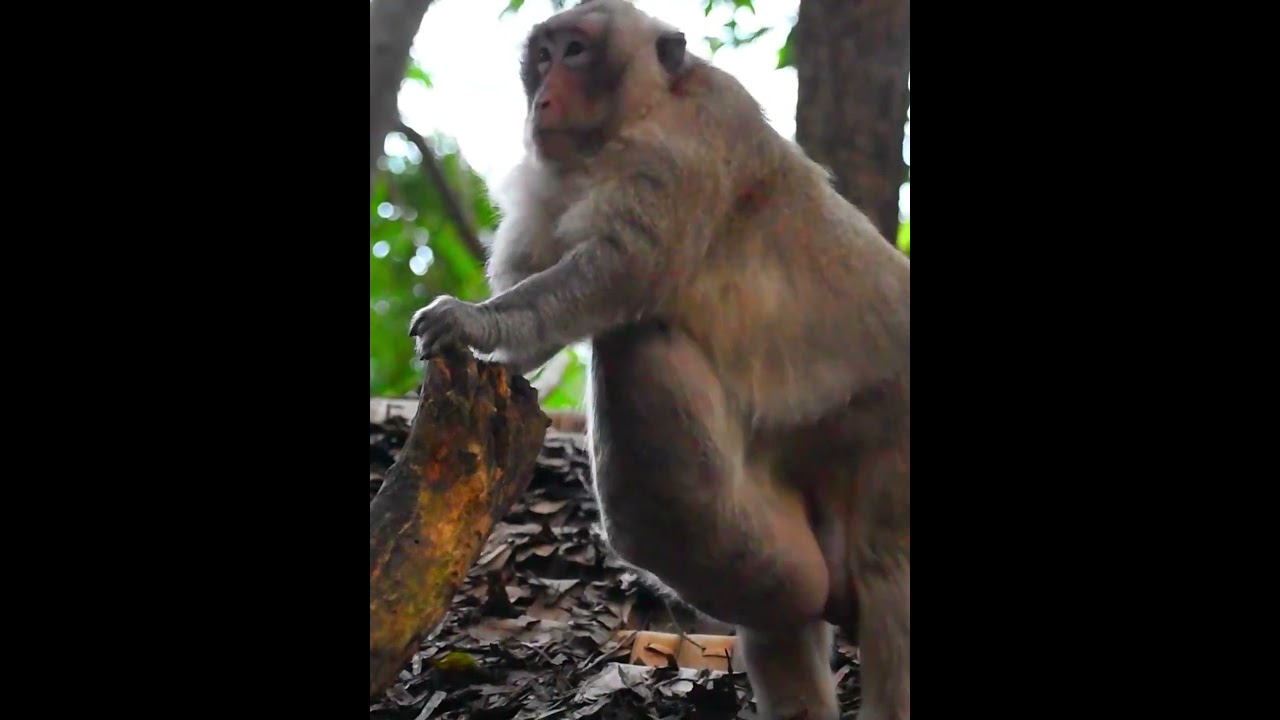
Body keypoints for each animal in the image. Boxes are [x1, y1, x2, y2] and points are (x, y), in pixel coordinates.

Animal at [407, 2, 909, 718]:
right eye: (544, 56)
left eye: (577, 51)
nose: (544, 96)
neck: (641, 113)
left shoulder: (693, 139)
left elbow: (620, 271)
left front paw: (471, 318)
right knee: (785, 603)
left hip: (892, 435)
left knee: (888, 576)